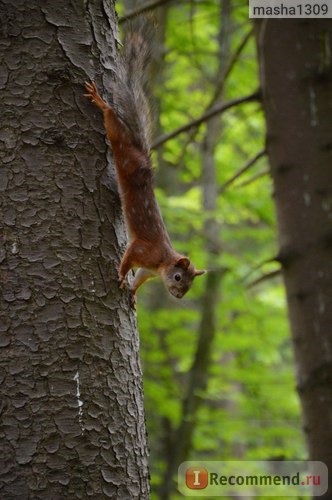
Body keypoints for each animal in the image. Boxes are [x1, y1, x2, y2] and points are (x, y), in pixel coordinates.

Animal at [85, 21, 205, 302]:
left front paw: (133, 292)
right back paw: (101, 103)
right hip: (122, 148)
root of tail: (142, 156)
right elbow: (128, 258)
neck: (161, 262)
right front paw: (120, 275)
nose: (179, 297)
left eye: (190, 285)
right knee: (112, 122)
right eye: (178, 277)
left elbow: (139, 278)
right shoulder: (142, 250)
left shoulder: (147, 271)